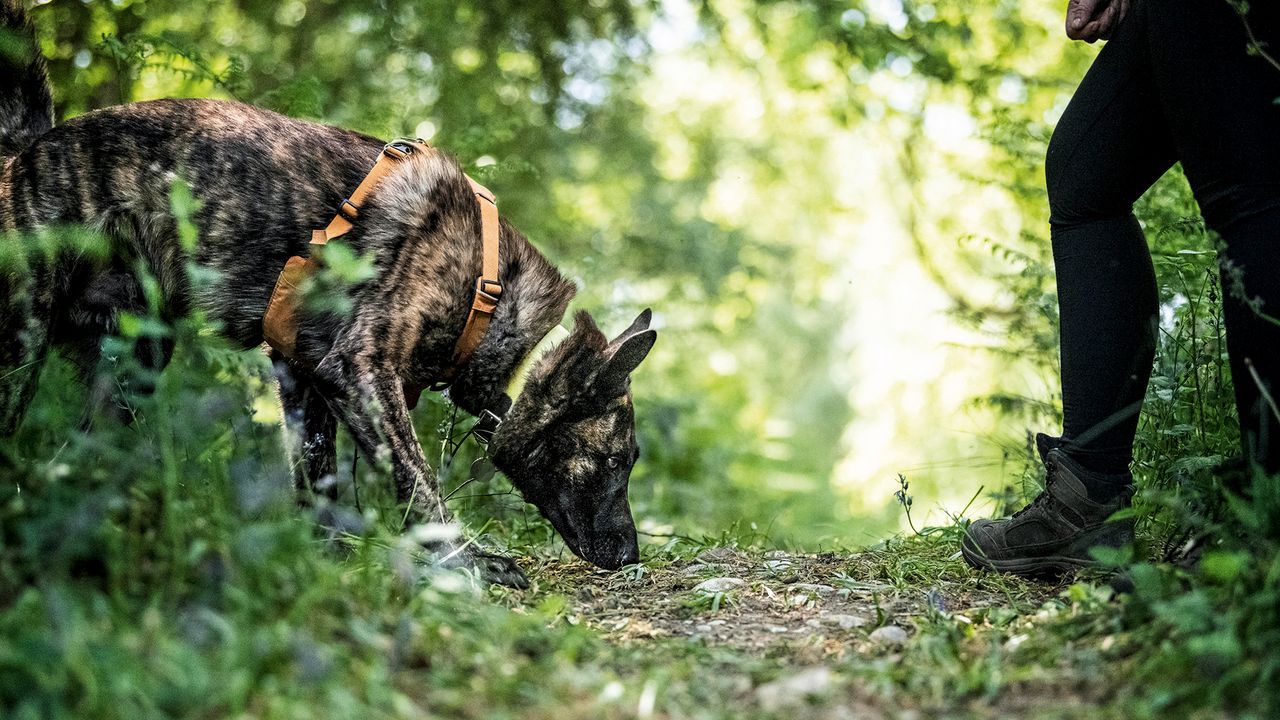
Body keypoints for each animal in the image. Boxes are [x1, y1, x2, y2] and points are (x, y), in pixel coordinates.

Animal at [0, 1, 655, 584]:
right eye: (616, 460)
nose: (631, 556)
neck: (489, 292)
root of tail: (25, 153)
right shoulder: (360, 368)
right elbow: (418, 482)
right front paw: (468, 561)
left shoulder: (304, 378)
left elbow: (319, 481)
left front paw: (329, 563)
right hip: (23, 345)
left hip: (133, 365)